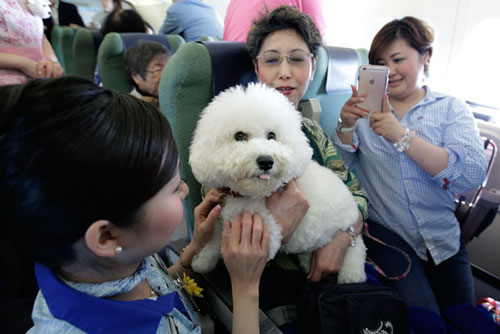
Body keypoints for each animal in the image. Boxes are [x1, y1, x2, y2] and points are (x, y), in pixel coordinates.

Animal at [189, 82, 366, 284]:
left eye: (272, 135)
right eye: (239, 136)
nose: (266, 161)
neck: (248, 195)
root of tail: (353, 209)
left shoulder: (260, 223)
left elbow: (267, 232)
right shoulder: (219, 218)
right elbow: (213, 241)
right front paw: (202, 261)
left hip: (346, 236)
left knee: (357, 249)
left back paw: (352, 275)